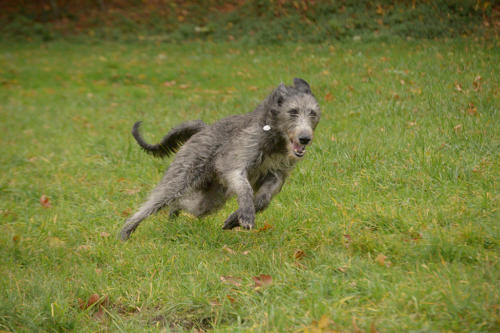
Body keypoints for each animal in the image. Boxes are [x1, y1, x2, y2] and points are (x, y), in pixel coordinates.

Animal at [120, 77, 320, 240]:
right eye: (293, 112)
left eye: (312, 113)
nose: (305, 138)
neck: (274, 138)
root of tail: (204, 128)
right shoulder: (238, 156)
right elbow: (242, 182)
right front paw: (246, 211)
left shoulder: (277, 172)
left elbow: (264, 198)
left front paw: (236, 217)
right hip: (185, 171)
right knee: (161, 197)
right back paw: (126, 230)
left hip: (211, 197)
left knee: (189, 204)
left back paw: (173, 212)